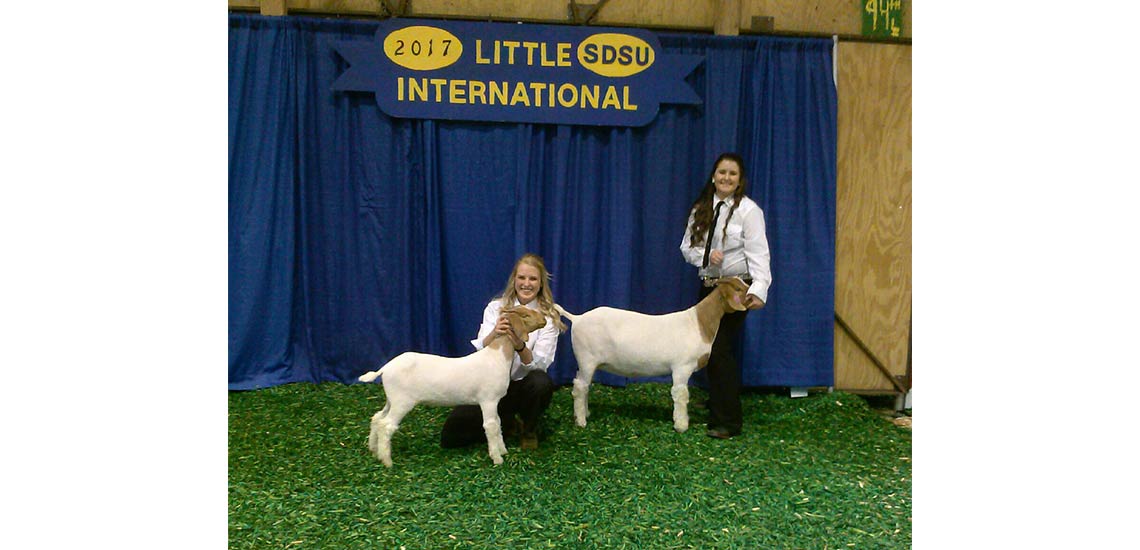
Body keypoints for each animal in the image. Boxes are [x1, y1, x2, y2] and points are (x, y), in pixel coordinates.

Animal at [357, 308, 549, 465]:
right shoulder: (488, 400)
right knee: (387, 425)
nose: (545, 319)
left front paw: (503, 451)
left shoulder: (494, 402)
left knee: (377, 418)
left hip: (392, 399)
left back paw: (374, 450)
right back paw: (387, 461)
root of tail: (386, 368)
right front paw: (497, 458)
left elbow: (498, 424)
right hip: (402, 401)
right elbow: (491, 426)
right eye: (526, 315)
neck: (497, 356)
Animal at [554, 279, 752, 433]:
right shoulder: (682, 367)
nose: (754, 294)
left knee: (582, 386)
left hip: (586, 362)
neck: (698, 323)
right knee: (580, 387)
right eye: (740, 288)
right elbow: (681, 394)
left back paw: (585, 413)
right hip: (586, 358)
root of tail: (577, 318)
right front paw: (681, 425)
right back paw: (581, 421)